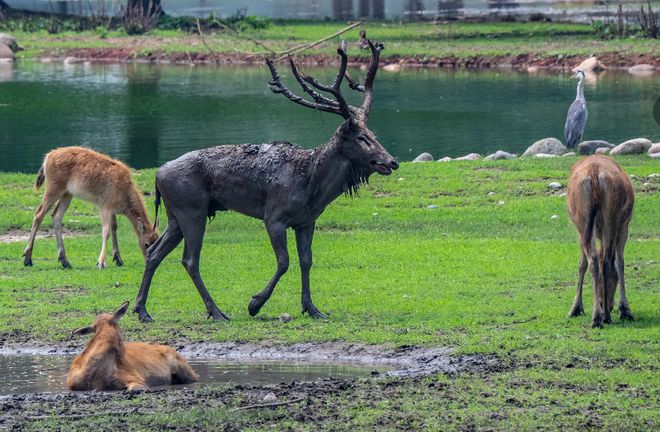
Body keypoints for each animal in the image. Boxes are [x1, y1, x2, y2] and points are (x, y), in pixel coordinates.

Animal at [22, 147, 159, 268]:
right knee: (39, 214)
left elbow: (114, 227)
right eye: (146, 244)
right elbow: (106, 232)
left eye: (156, 240)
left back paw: (65, 261)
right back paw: (28, 259)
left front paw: (118, 259)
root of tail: (47, 157)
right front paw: (101, 262)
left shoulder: (112, 209)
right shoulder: (105, 206)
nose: (149, 260)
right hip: (53, 189)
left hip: (67, 194)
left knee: (56, 216)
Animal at [130, 33, 398, 322]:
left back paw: (142, 310)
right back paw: (216, 311)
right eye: (361, 137)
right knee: (190, 259)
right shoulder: (274, 217)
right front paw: (255, 303)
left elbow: (307, 261)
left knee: (154, 252)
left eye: (373, 134)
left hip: (175, 215)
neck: (313, 186)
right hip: (192, 210)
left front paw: (312, 308)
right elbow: (284, 262)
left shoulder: (306, 221)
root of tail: (157, 176)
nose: (391, 162)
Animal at [564, 155, 636, 328]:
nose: (606, 304)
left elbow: (582, 264)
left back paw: (599, 316)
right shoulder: (623, 226)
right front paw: (624, 309)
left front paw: (576, 308)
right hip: (609, 220)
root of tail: (595, 173)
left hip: (585, 221)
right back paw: (603, 316)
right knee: (605, 261)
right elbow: (619, 262)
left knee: (596, 260)